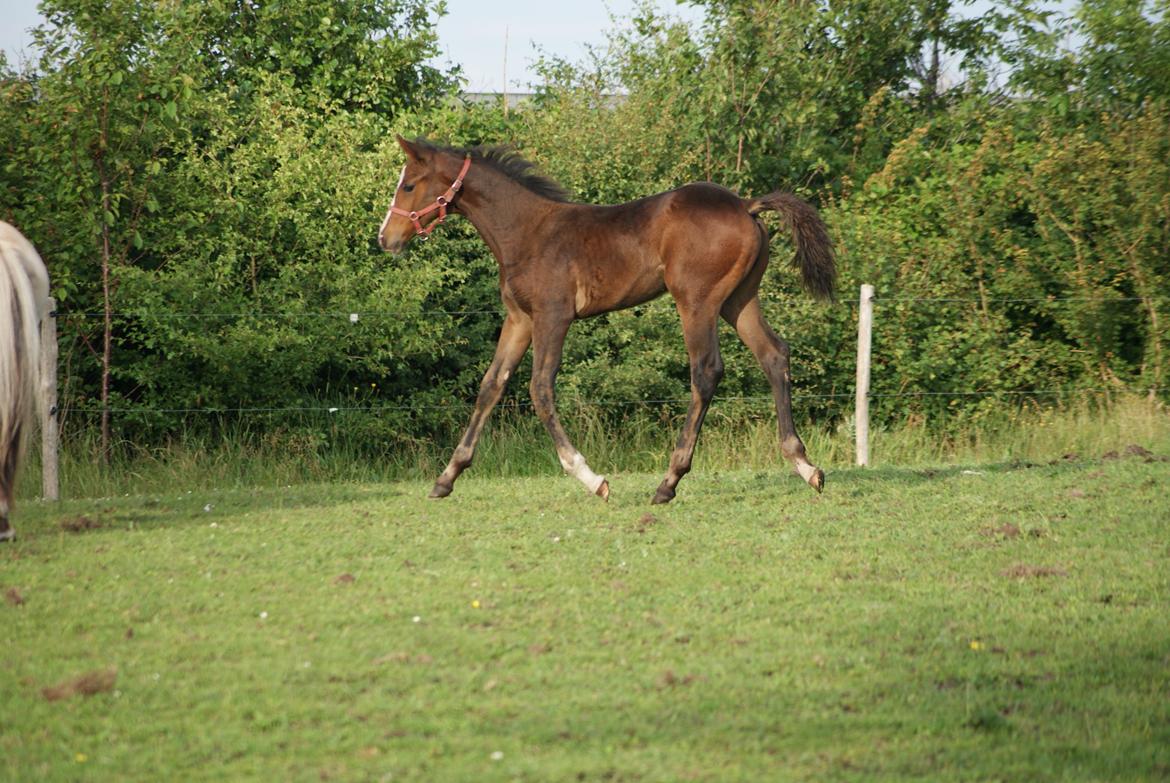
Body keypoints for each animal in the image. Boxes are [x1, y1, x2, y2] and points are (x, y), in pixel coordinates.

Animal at [379, 136, 837, 503]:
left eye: (409, 184)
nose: (386, 238)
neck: (527, 232)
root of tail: (745, 204)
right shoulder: (519, 319)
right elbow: (491, 386)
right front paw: (446, 478)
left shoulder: (553, 316)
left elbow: (539, 389)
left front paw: (590, 476)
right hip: (737, 300)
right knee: (774, 355)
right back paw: (805, 466)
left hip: (696, 301)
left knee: (706, 371)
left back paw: (669, 482)